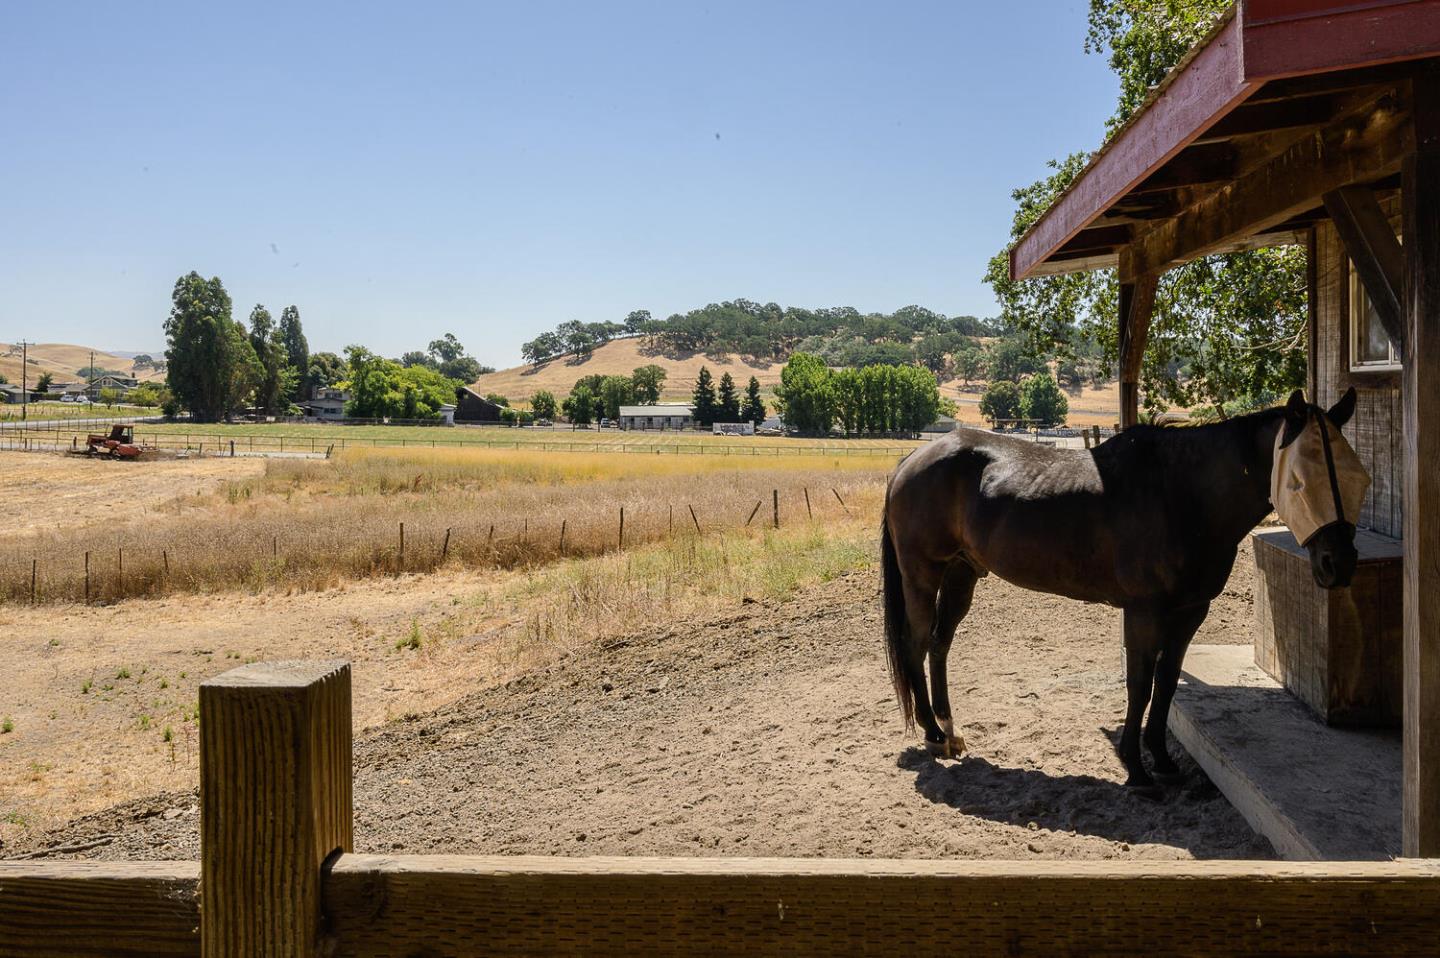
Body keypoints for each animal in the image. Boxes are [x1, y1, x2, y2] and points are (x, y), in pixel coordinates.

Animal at [881, 386, 1365, 795]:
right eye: (1299, 481)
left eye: (1357, 475)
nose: (1338, 564)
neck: (1182, 494)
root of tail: (911, 460)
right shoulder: (1144, 612)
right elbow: (1140, 684)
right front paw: (1136, 768)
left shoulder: (1191, 611)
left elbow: (1167, 683)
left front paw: (1164, 762)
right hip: (923, 574)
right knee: (916, 644)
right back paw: (932, 734)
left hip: (961, 574)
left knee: (940, 645)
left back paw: (950, 730)